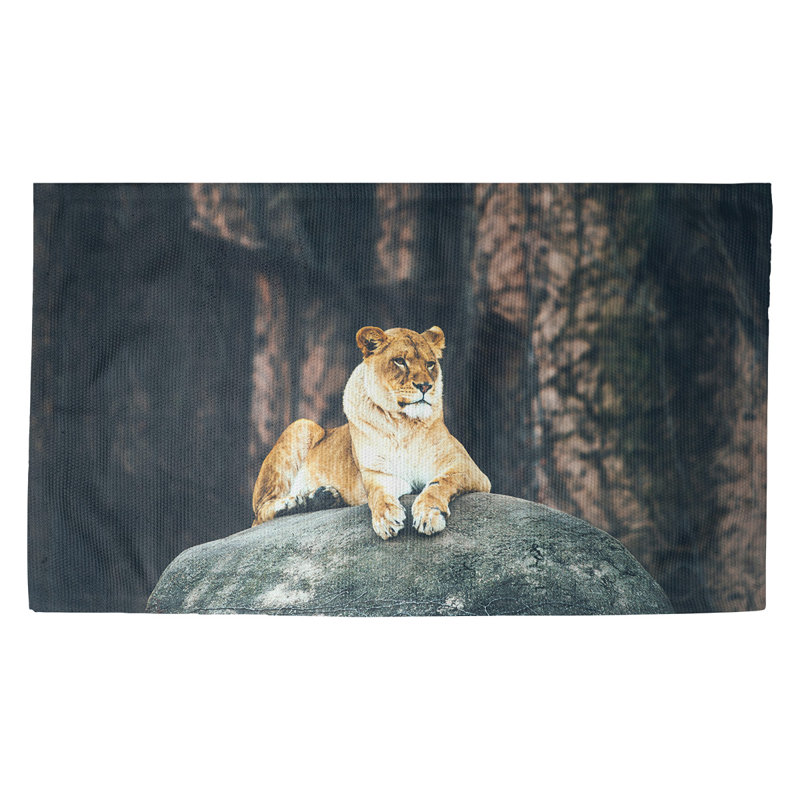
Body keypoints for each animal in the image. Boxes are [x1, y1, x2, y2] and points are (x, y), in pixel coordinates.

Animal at [251, 325, 491, 539]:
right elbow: (378, 494)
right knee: (261, 512)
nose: (425, 386)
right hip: (301, 425)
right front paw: (386, 519)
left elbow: (440, 484)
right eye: (400, 361)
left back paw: (323, 497)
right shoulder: (377, 472)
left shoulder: (468, 468)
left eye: (430, 364)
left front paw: (428, 514)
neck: (404, 424)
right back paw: (302, 500)